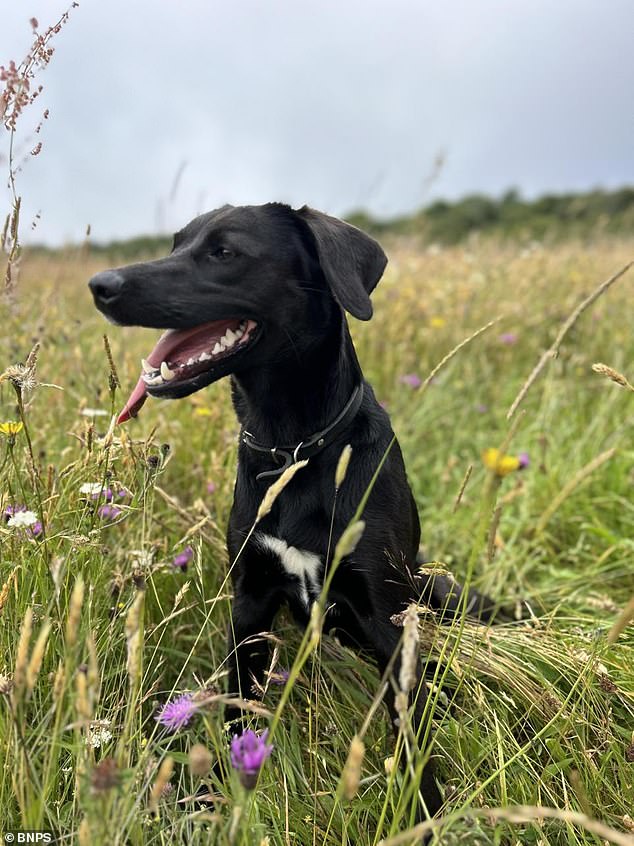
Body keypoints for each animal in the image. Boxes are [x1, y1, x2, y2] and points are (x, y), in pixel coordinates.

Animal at [87, 205, 494, 828]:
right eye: (176, 244)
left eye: (224, 252)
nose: (100, 286)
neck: (295, 449)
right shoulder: (250, 603)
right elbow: (237, 709)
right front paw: (218, 792)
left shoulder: (387, 617)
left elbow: (411, 730)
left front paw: (422, 813)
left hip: (432, 593)